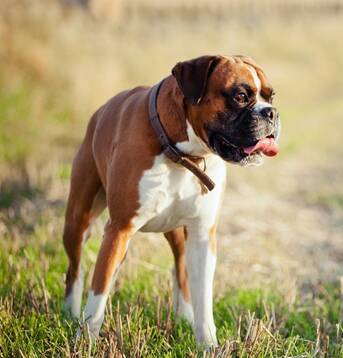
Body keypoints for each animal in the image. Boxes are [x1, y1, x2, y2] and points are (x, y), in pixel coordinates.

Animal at [63, 54, 280, 348]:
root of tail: (99, 113)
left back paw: (184, 316)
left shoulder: (202, 236)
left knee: (181, 271)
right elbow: (98, 293)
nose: (272, 112)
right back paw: (70, 313)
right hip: (78, 221)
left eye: (271, 96)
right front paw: (85, 340)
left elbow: (203, 299)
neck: (182, 155)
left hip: (178, 234)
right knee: (75, 270)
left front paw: (208, 345)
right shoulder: (119, 229)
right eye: (240, 96)